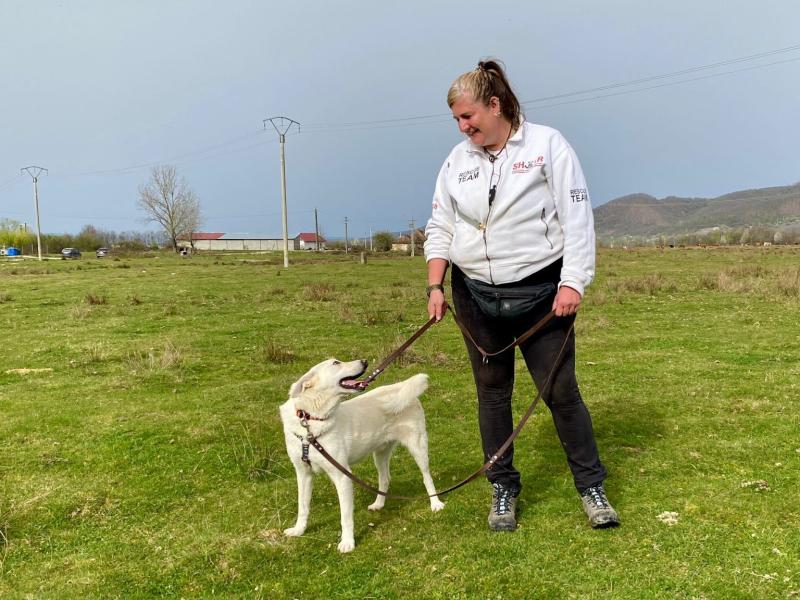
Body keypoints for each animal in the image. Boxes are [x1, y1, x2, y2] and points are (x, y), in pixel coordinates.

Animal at [280, 358, 445, 553]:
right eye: (336, 363)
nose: (364, 361)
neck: (310, 421)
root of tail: (399, 386)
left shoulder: (342, 476)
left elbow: (345, 516)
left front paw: (347, 542)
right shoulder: (303, 474)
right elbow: (303, 506)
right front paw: (299, 530)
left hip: (417, 447)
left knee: (427, 477)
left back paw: (435, 504)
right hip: (380, 453)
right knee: (385, 479)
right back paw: (378, 504)